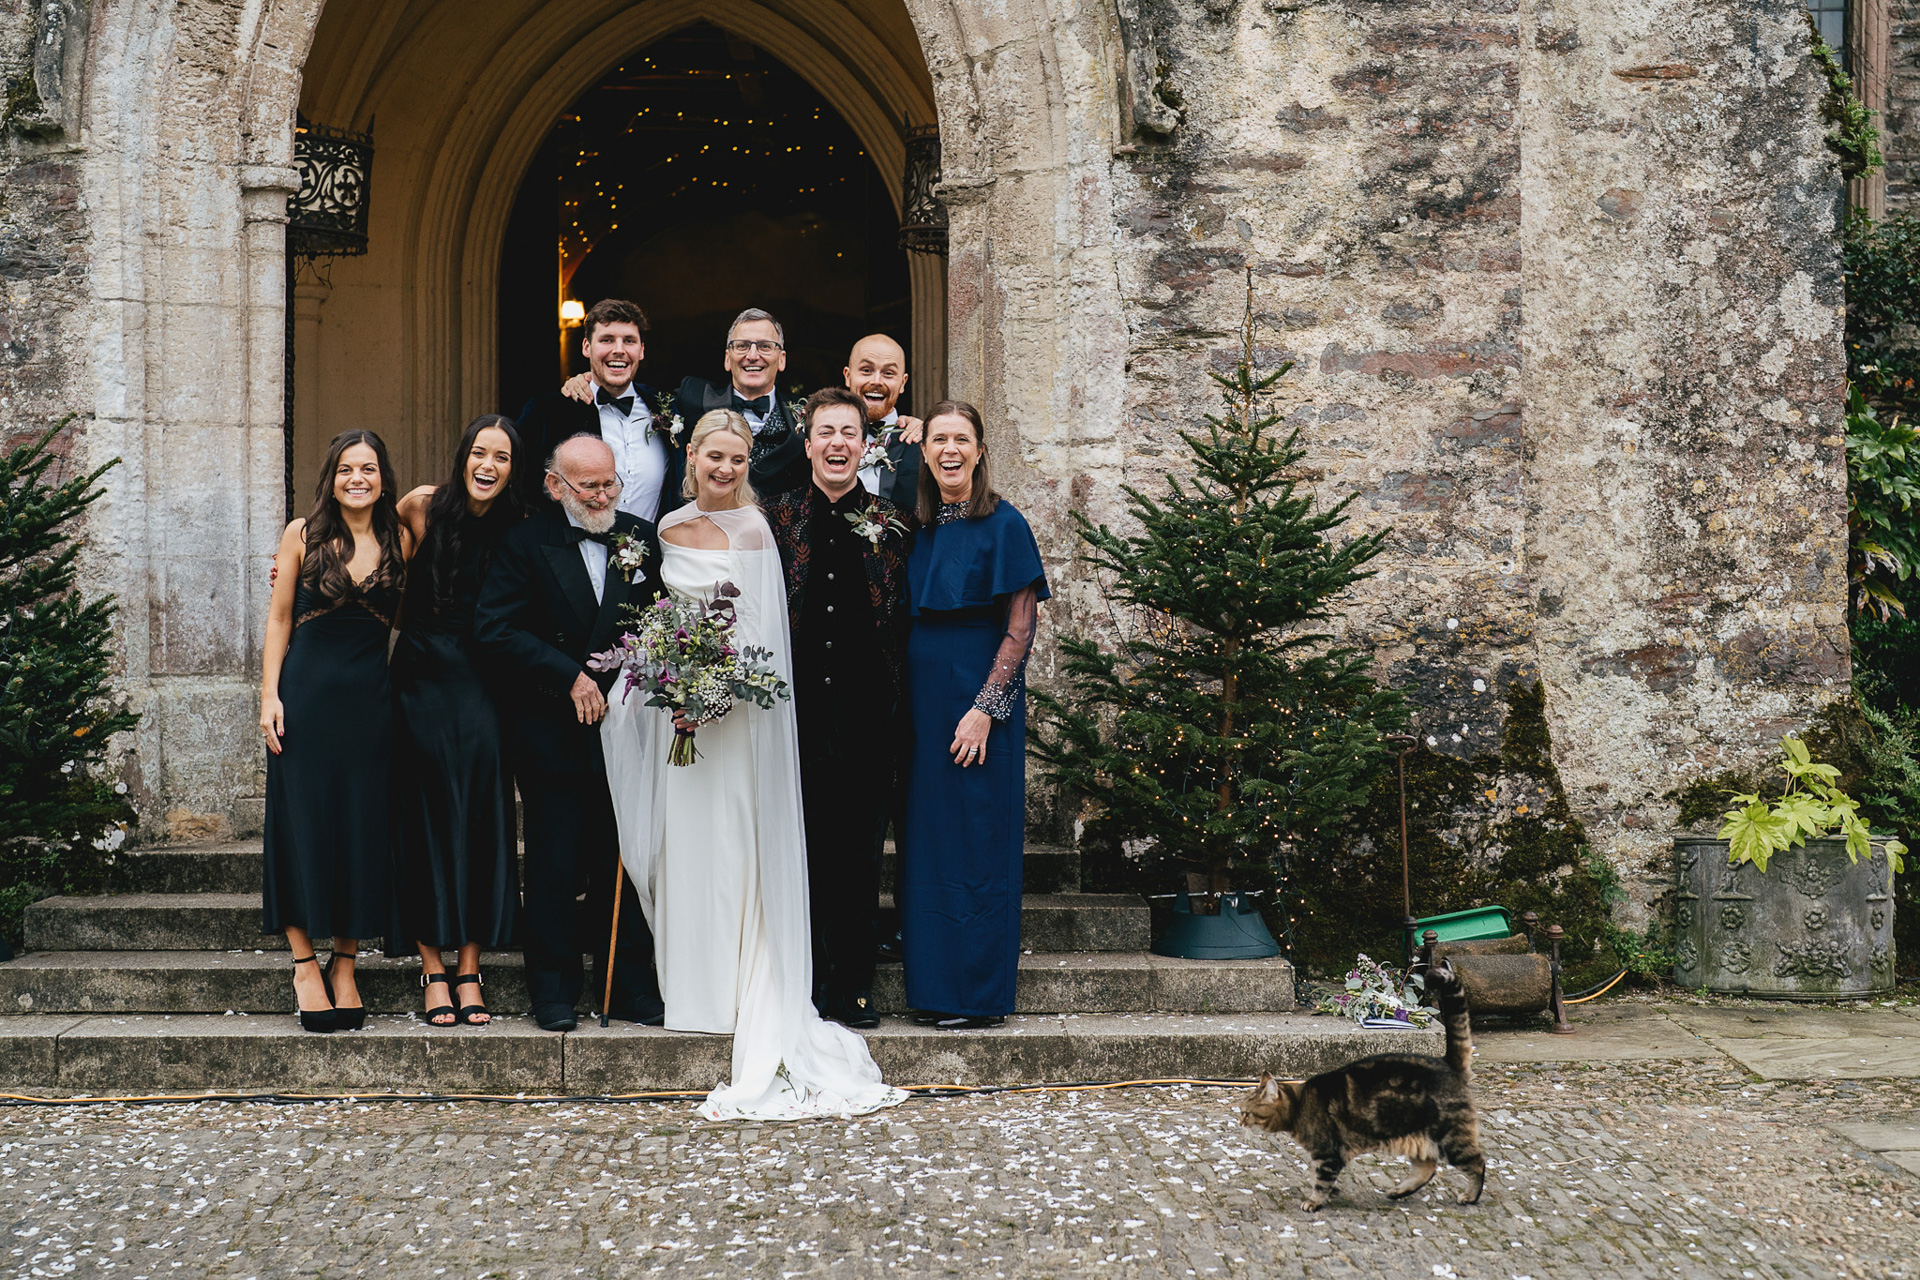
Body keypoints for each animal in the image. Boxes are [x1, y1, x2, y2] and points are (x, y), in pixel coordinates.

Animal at [1236, 959, 1489, 1212]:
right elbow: (1317, 1176)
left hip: (1451, 1137)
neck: (1300, 1104)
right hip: (1416, 1139)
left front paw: (1315, 1201)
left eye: (1246, 1113)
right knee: (1427, 1168)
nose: (1239, 1123)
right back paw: (1398, 1191)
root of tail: (1447, 1062)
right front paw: (1332, 1192)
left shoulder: (1328, 1154)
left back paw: (1470, 1196)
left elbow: (1320, 1181)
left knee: (1477, 1163)